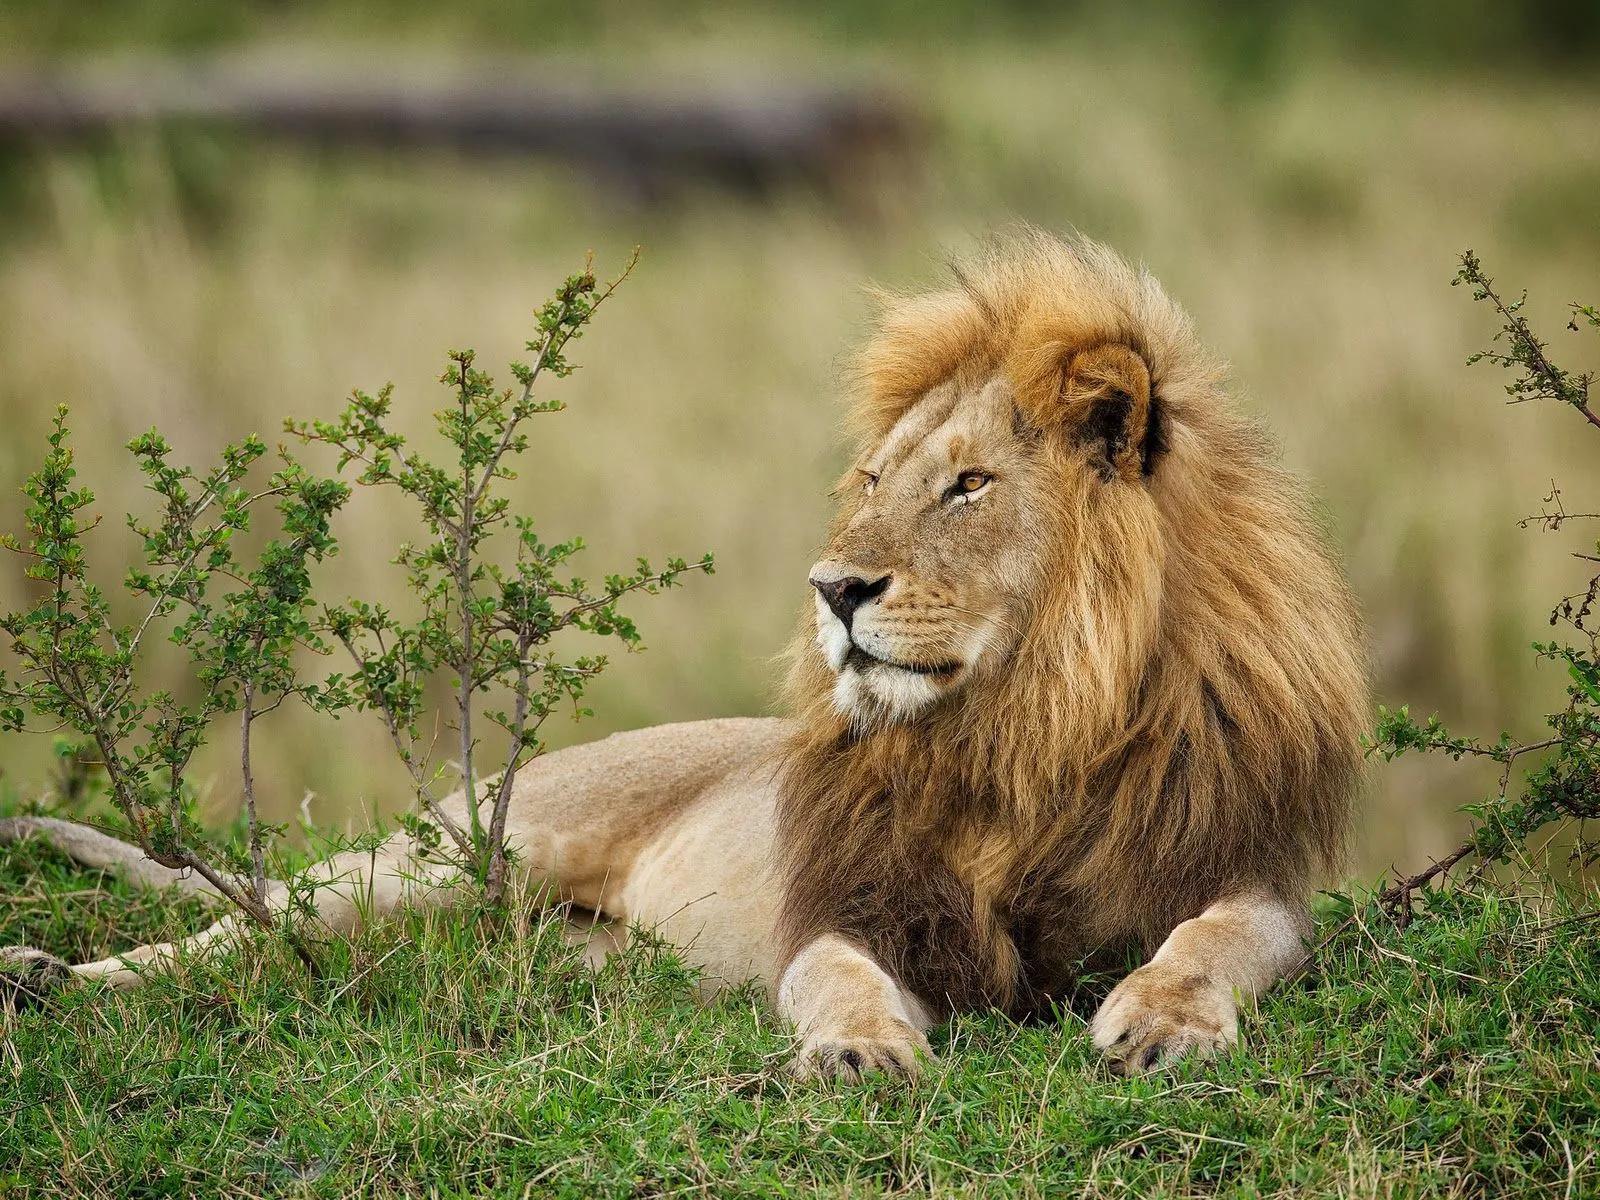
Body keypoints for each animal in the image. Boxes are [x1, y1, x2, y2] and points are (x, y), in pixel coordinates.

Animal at [6, 232, 1369, 1081]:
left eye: (969, 485)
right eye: (874, 481)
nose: (833, 589)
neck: (1026, 725)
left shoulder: (1240, 869)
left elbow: (1210, 943)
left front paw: (1160, 1023)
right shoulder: (849, 903)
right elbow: (834, 978)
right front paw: (858, 1050)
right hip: (451, 860)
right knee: (243, 928)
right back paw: (46, 975)